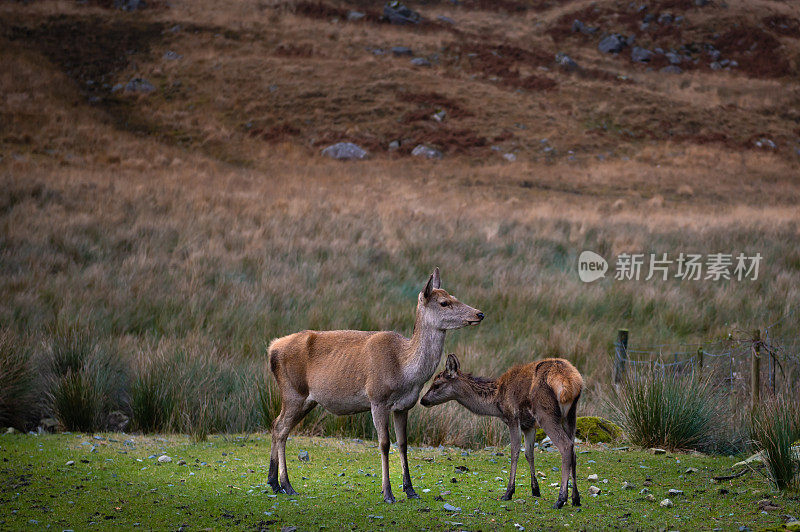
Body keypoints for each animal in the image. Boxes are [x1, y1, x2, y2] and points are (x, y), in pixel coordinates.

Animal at [268, 268, 484, 500]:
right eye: (444, 302)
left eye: (454, 296)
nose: (479, 314)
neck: (405, 371)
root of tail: (272, 349)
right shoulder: (377, 399)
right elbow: (384, 444)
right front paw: (387, 492)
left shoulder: (404, 406)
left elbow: (403, 444)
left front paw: (410, 489)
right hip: (293, 392)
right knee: (280, 428)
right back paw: (286, 484)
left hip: (306, 400)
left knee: (278, 425)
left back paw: (273, 482)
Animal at [422, 354, 584, 508]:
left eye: (437, 384)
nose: (423, 400)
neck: (496, 401)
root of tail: (570, 383)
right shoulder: (528, 425)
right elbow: (529, 454)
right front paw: (535, 490)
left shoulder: (512, 417)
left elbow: (515, 452)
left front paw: (509, 492)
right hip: (571, 415)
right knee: (573, 450)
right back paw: (575, 498)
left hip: (545, 413)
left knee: (566, 446)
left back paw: (561, 499)